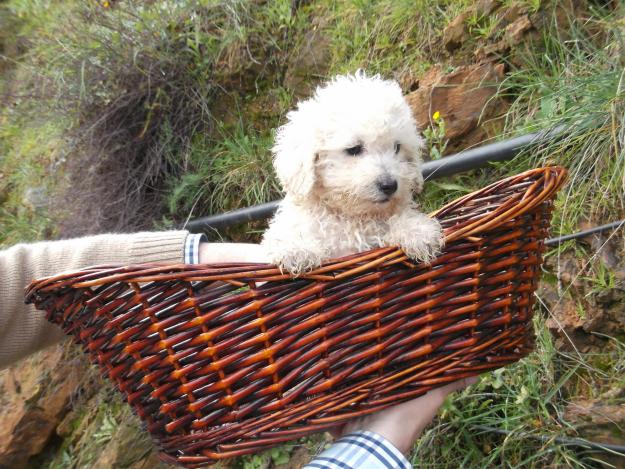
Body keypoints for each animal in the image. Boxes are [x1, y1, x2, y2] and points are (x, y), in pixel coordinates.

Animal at [260, 72, 442, 274]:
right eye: (354, 149)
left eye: (397, 147)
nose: (389, 185)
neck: (351, 218)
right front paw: (297, 250)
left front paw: (417, 232)